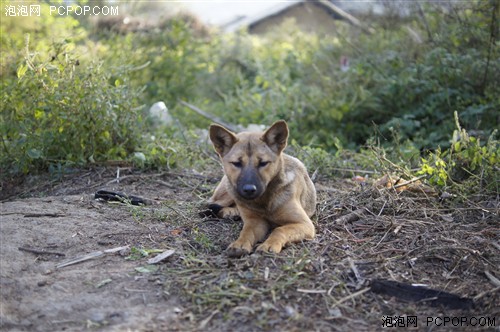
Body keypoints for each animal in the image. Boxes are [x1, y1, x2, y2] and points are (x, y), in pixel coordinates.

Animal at [207, 120, 316, 258]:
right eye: (237, 163)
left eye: (263, 163)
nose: (249, 190)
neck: (264, 201)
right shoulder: (255, 222)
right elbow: (246, 232)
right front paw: (240, 244)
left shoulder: (304, 224)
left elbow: (279, 229)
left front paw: (269, 245)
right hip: (229, 190)